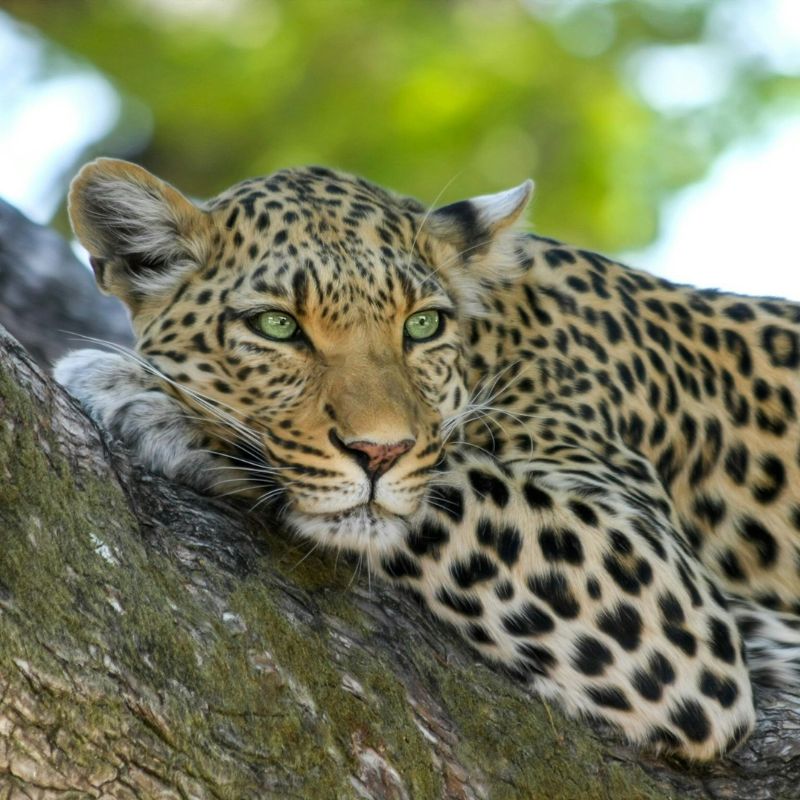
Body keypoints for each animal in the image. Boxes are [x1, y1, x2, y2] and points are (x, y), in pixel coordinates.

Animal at [54, 158, 800, 764]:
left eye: (421, 325)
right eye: (276, 326)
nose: (379, 451)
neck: (499, 338)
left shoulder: (667, 596)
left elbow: (447, 478)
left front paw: (145, 397)